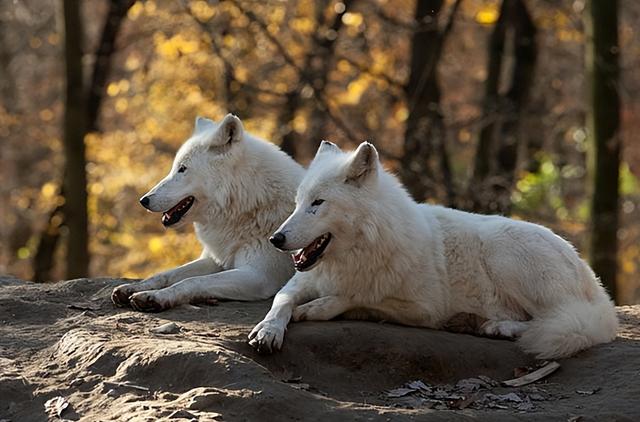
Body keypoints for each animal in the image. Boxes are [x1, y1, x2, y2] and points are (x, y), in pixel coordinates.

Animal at [111, 113, 304, 312]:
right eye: (174, 168)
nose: (144, 200)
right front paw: (134, 288)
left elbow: (191, 281)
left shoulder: (259, 275)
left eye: (182, 169)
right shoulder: (215, 259)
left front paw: (155, 297)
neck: (249, 202)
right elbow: (167, 274)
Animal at [248, 140, 616, 358]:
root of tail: (597, 289)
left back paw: (495, 327)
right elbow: (280, 302)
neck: (361, 253)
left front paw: (316, 308)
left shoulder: (424, 309)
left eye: (318, 203)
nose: (276, 239)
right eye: (298, 203)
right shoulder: (301, 280)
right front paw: (267, 330)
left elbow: (356, 297)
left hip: (502, 253)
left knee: (552, 321)